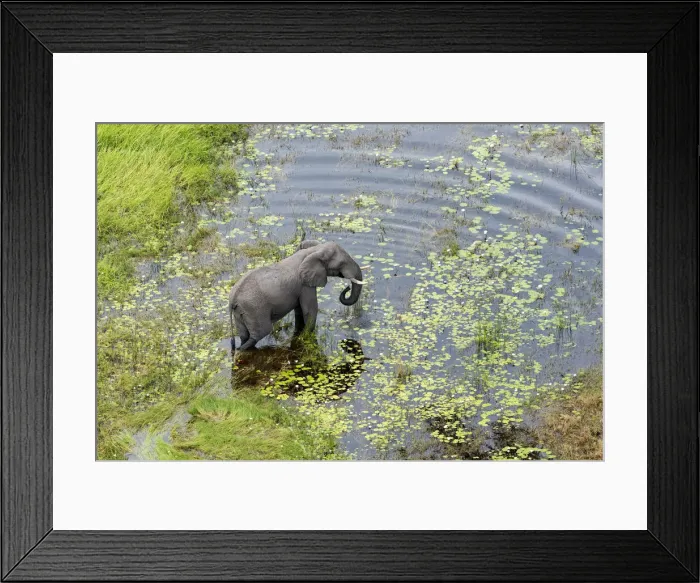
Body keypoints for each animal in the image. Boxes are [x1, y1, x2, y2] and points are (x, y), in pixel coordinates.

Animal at [228, 240, 364, 350]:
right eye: (342, 263)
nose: (347, 287)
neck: (314, 250)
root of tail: (232, 299)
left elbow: (299, 310)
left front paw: (300, 334)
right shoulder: (305, 284)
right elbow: (310, 310)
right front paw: (305, 337)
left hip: (241, 312)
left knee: (244, 335)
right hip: (255, 310)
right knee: (260, 333)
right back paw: (242, 349)